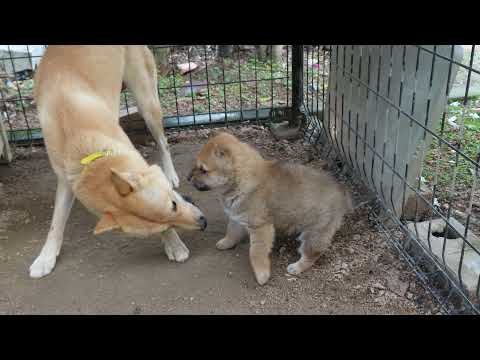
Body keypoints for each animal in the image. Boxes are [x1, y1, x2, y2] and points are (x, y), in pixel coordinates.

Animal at [29, 45, 206, 278]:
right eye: (168, 217)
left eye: (173, 205)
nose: (203, 224)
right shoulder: (66, 180)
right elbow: (56, 223)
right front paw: (45, 257)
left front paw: (175, 245)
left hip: (147, 102)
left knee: (163, 142)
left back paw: (170, 172)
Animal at [188, 131, 352, 284]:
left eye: (203, 170)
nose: (187, 178)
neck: (241, 179)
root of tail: (342, 193)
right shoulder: (236, 217)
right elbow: (231, 232)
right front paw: (226, 243)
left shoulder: (260, 228)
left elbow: (256, 252)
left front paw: (262, 275)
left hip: (315, 231)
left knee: (312, 253)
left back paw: (297, 267)